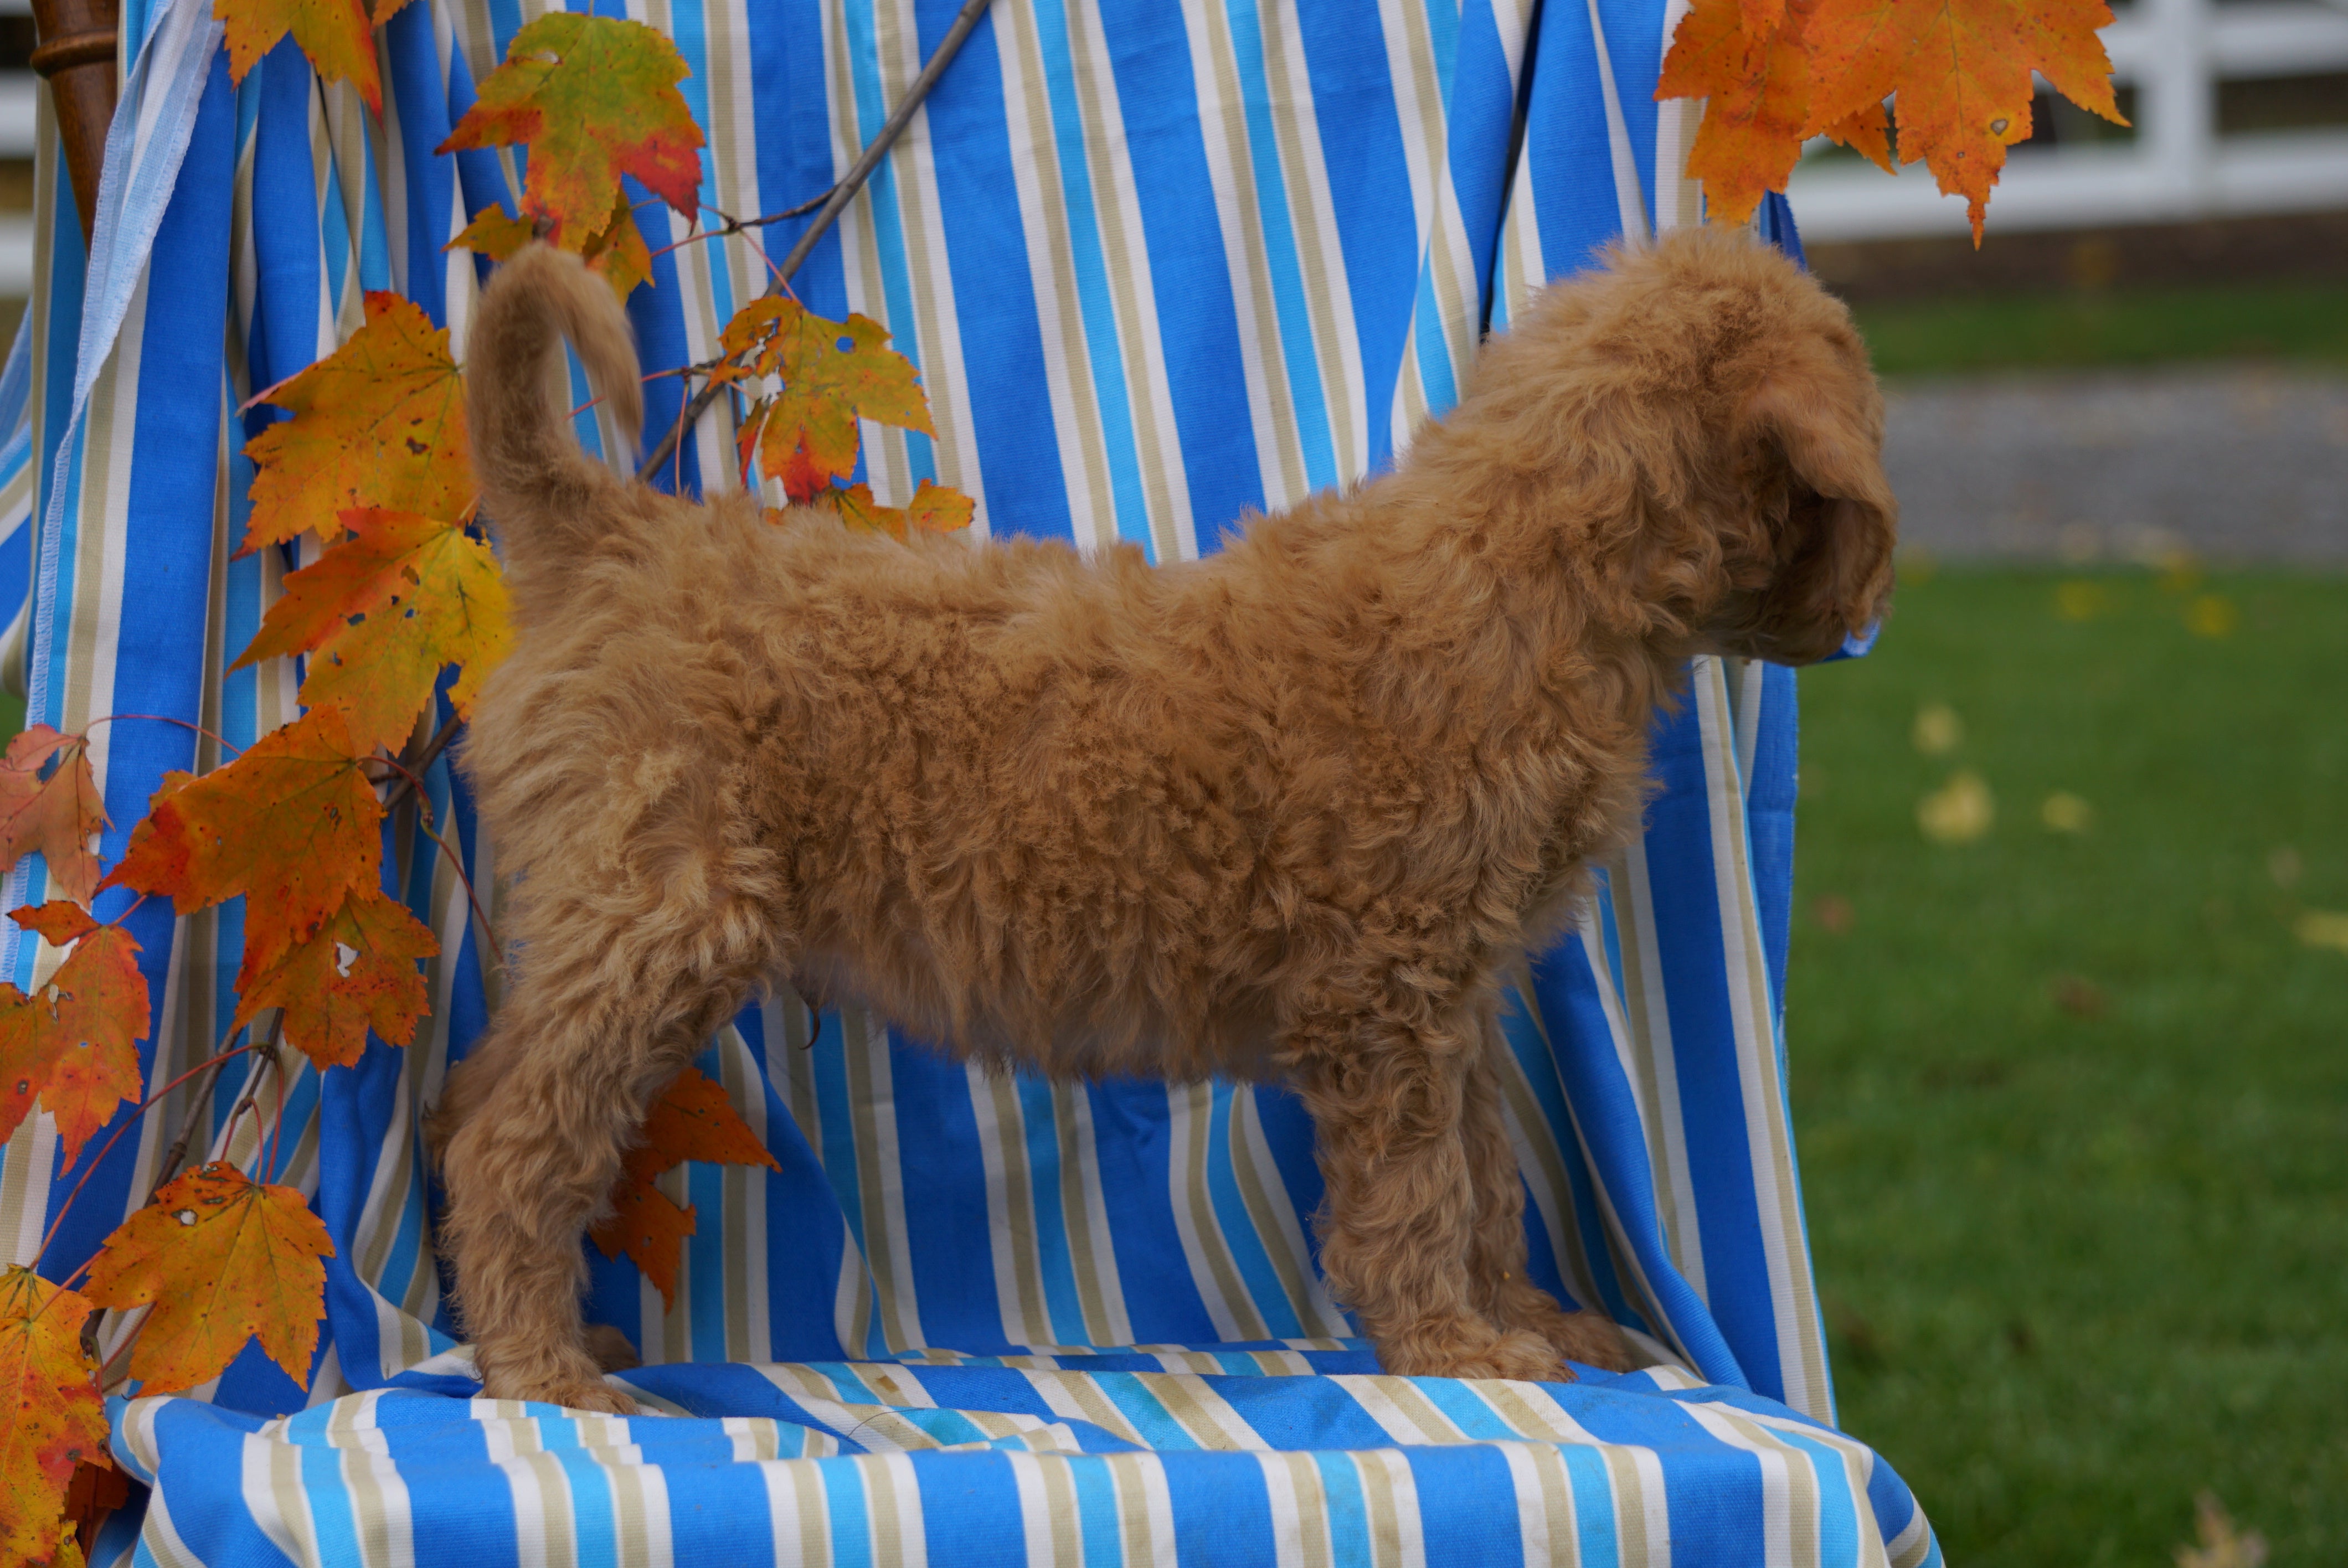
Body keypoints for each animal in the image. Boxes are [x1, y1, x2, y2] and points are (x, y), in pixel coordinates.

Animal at [432, 230, 1897, 1408]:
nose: (1861, 620)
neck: (1521, 580)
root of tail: (615, 536)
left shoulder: (1459, 996)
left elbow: (1486, 1175)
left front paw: (1530, 1321)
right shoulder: (1385, 1000)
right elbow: (1417, 1189)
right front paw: (1456, 1346)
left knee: (490, 1106)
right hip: (656, 914)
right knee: (507, 1136)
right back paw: (542, 1369)